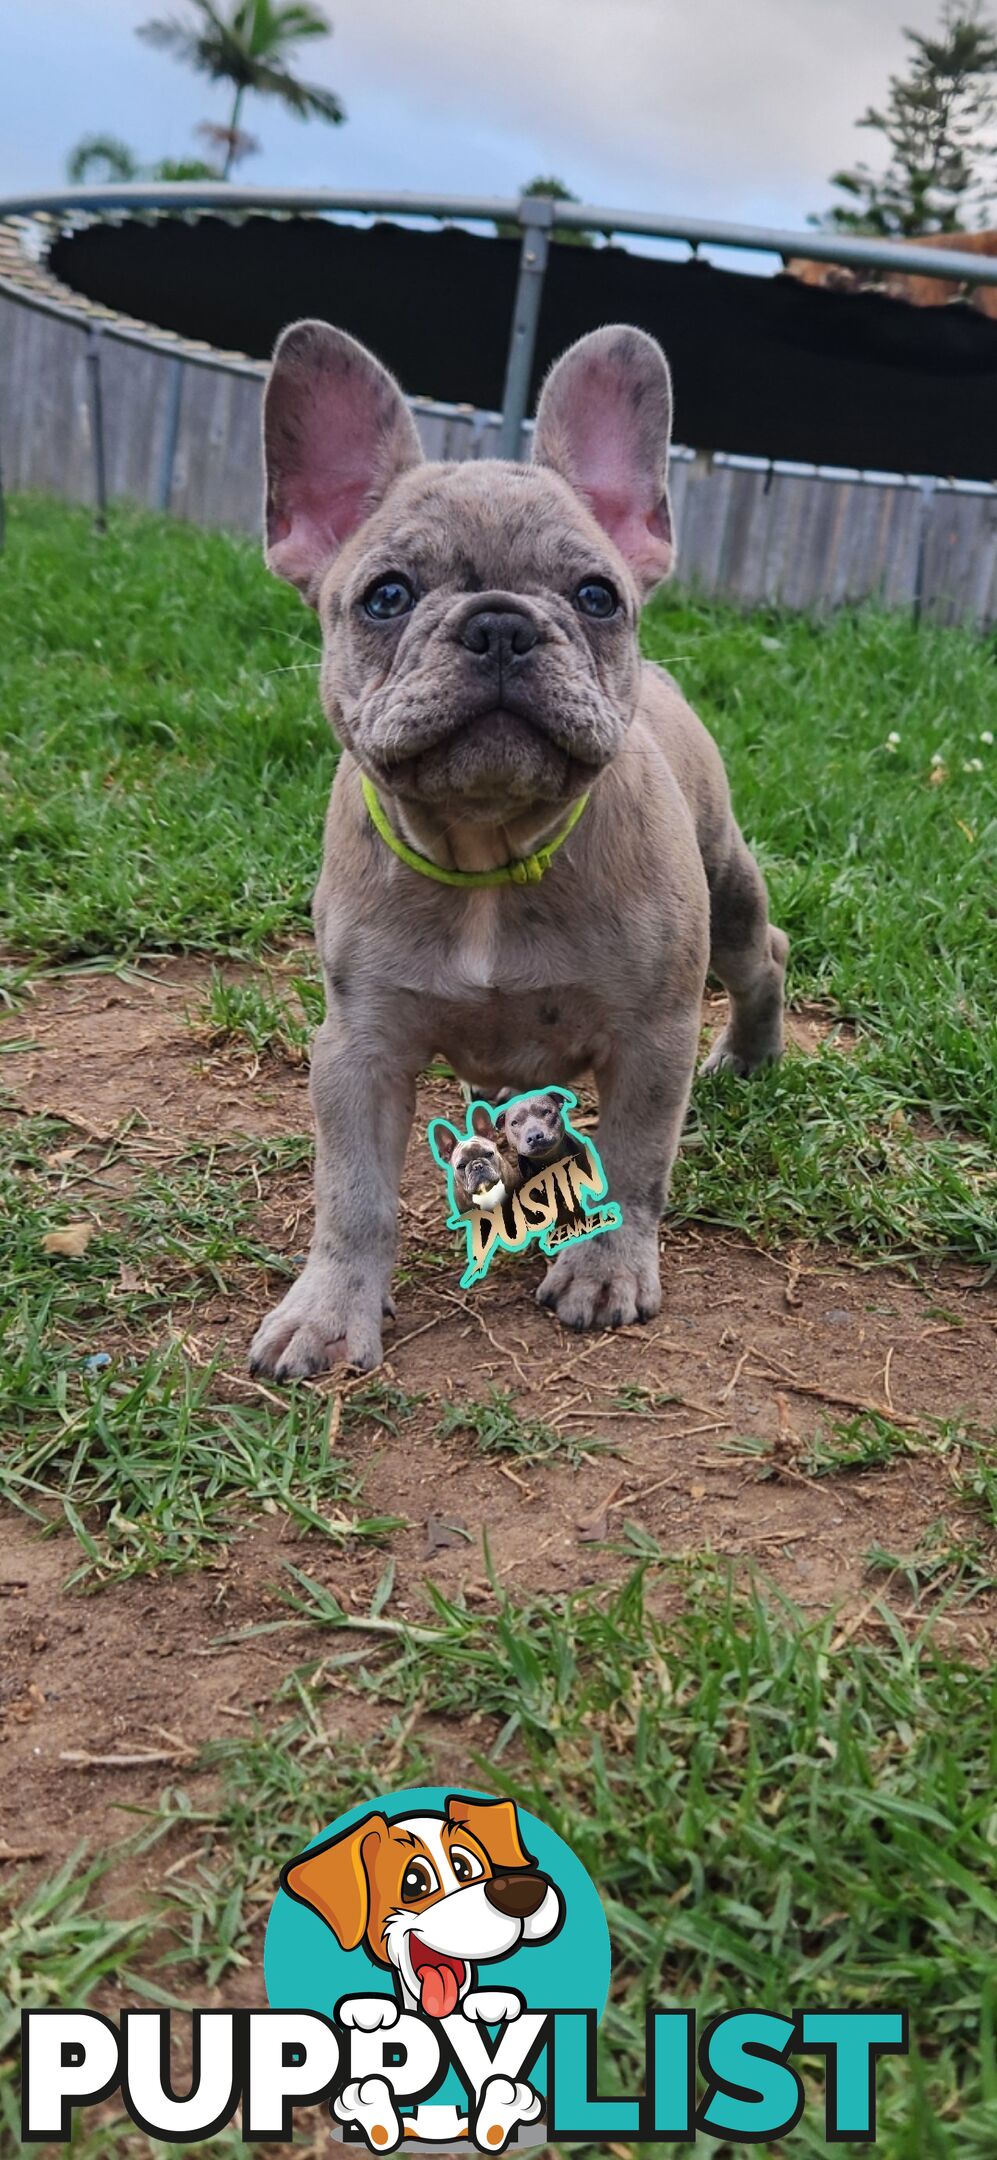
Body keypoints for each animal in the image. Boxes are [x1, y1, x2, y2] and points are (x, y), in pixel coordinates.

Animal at [249, 317, 785, 1373]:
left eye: (595, 596)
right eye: (385, 597)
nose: (500, 624)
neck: (486, 852)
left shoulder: (651, 1038)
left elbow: (635, 1160)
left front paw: (605, 1270)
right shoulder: (357, 1051)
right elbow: (353, 1195)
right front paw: (329, 1311)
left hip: (730, 900)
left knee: (764, 958)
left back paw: (750, 1056)